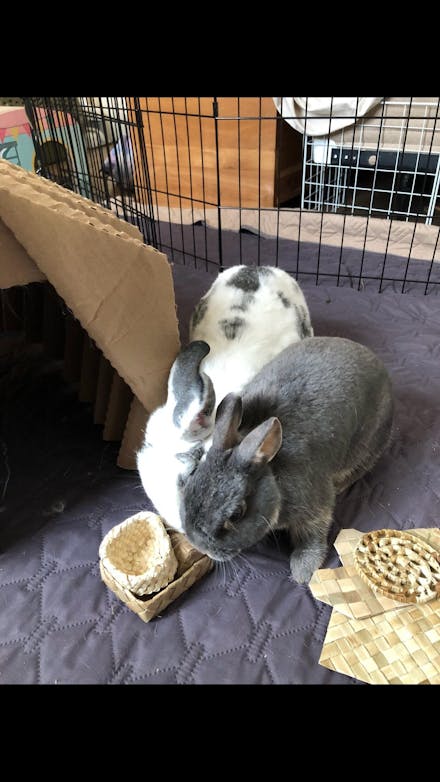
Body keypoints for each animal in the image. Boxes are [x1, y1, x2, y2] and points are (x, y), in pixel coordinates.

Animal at [181, 336, 394, 584]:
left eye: (236, 514)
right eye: (191, 479)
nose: (200, 547)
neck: (272, 471)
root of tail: (376, 361)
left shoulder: (315, 507)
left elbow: (312, 534)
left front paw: (303, 571)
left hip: (367, 446)